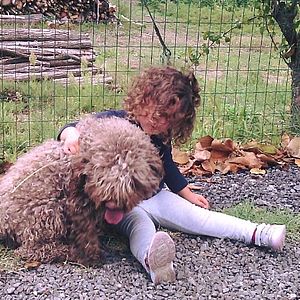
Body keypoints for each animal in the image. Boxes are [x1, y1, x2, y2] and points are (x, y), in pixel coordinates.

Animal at [0, 116, 163, 264]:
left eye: (133, 181)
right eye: (101, 180)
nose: (113, 205)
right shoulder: (77, 204)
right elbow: (86, 234)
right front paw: (91, 256)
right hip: (47, 212)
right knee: (31, 250)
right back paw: (68, 252)